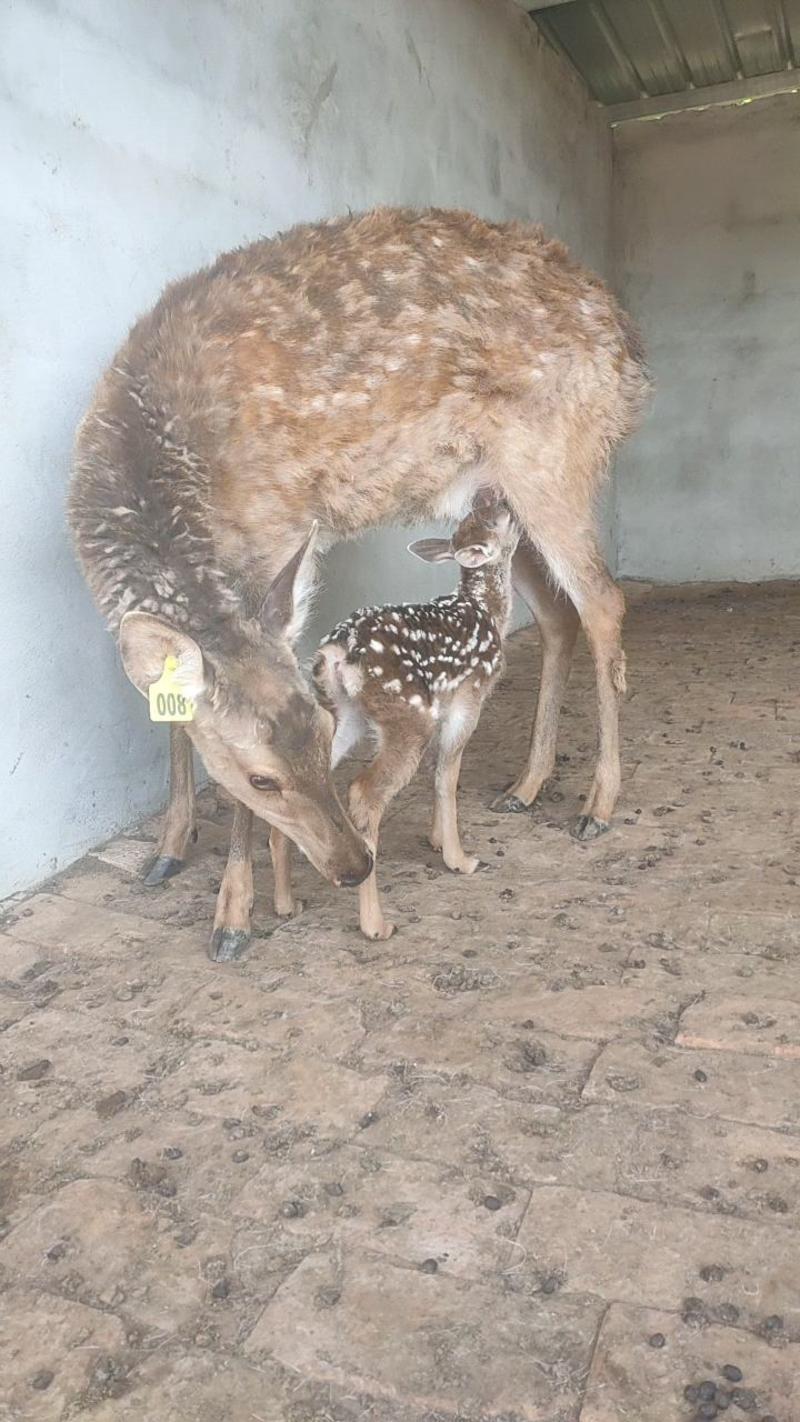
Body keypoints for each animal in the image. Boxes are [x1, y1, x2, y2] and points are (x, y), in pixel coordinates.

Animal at [308, 494, 520, 938]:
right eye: (499, 519)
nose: (503, 498)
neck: (486, 611)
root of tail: (338, 652)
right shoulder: (468, 697)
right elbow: (447, 773)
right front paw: (459, 858)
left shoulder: (444, 703)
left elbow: (439, 768)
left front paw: (437, 839)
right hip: (406, 714)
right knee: (364, 791)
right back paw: (375, 925)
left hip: (344, 713)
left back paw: (284, 900)